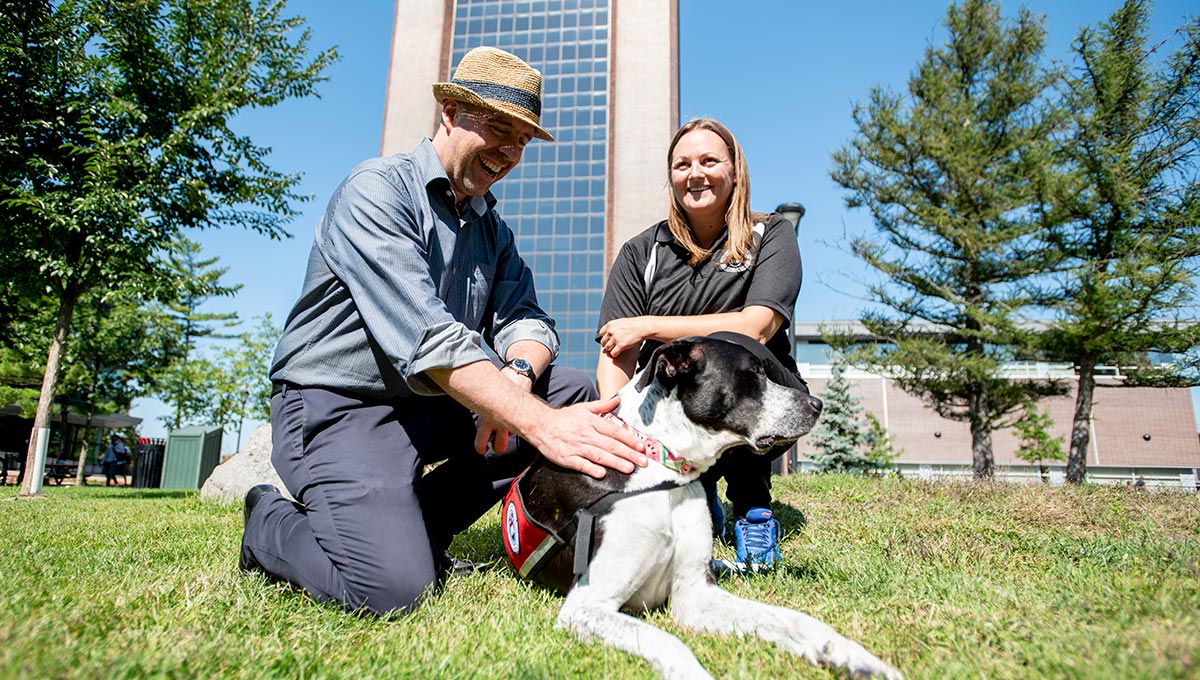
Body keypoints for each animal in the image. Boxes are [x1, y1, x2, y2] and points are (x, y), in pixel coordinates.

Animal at [501, 335, 902, 680]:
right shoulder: (586, 605)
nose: (817, 405)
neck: (662, 464)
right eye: (755, 373)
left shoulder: (695, 593)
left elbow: (793, 618)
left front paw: (851, 655)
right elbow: (667, 641)